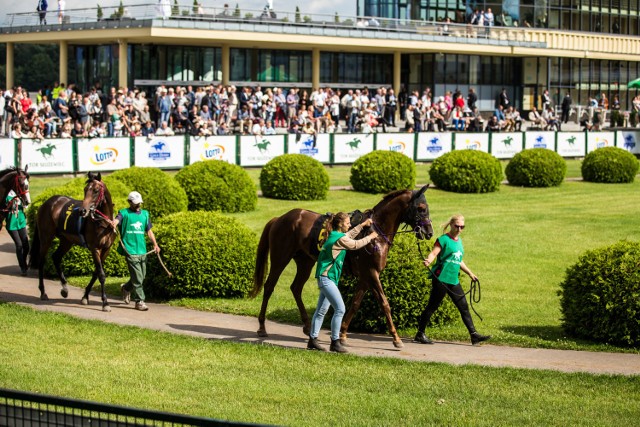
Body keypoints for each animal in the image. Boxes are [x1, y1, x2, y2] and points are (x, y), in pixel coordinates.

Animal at [29, 172, 117, 312]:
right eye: (85, 190)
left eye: (96, 190)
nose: (82, 211)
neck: (102, 223)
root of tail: (47, 203)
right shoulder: (95, 248)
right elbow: (101, 274)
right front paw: (105, 303)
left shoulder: (106, 249)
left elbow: (96, 272)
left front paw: (85, 297)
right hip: (46, 238)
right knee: (42, 262)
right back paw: (43, 292)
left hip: (67, 241)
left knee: (56, 257)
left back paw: (65, 289)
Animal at [251, 186, 436, 350]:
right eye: (421, 208)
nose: (429, 232)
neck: (375, 232)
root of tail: (279, 218)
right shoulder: (371, 273)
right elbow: (384, 303)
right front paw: (396, 339)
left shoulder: (365, 276)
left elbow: (355, 303)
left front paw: (343, 334)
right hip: (280, 258)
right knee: (269, 287)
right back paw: (261, 327)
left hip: (305, 261)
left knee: (296, 287)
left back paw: (307, 326)